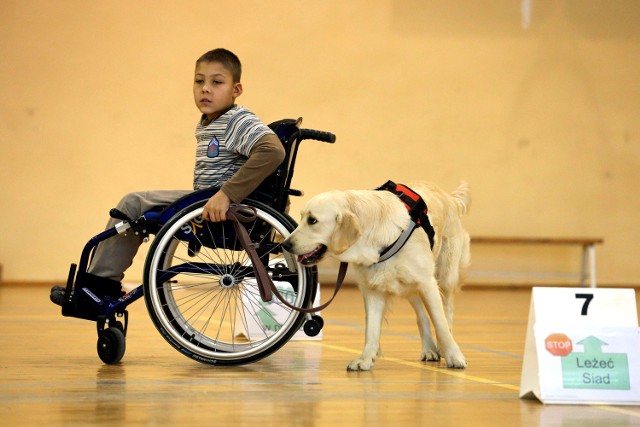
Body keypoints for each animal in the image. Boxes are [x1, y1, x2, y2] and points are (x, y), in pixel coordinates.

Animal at [282, 181, 470, 372]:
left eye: (312, 220)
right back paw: (429, 349)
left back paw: (442, 347)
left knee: (447, 312)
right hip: (410, 287)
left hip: (445, 276)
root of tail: (450, 198)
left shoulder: (427, 283)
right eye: (302, 217)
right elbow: (371, 329)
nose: (285, 244)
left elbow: (440, 324)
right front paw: (365, 359)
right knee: (422, 316)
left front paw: (454, 356)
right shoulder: (372, 290)